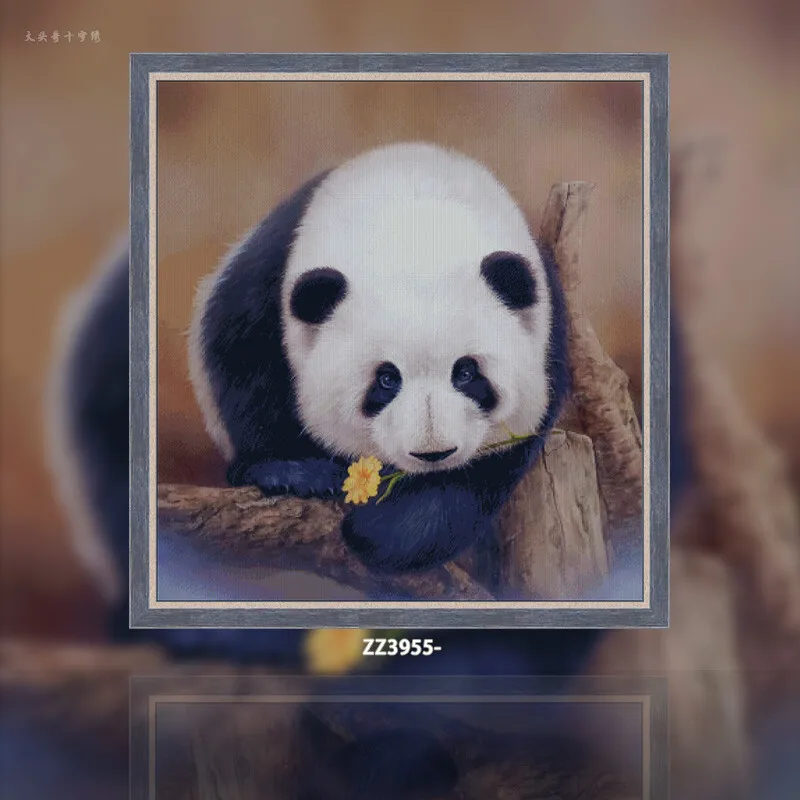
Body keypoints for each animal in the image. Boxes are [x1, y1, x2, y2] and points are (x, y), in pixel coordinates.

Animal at [187, 142, 570, 574]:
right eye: (386, 379)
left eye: (466, 372)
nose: (433, 452)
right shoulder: (265, 281)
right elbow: (241, 363)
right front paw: (292, 471)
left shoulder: (549, 332)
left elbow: (492, 462)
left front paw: (384, 533)